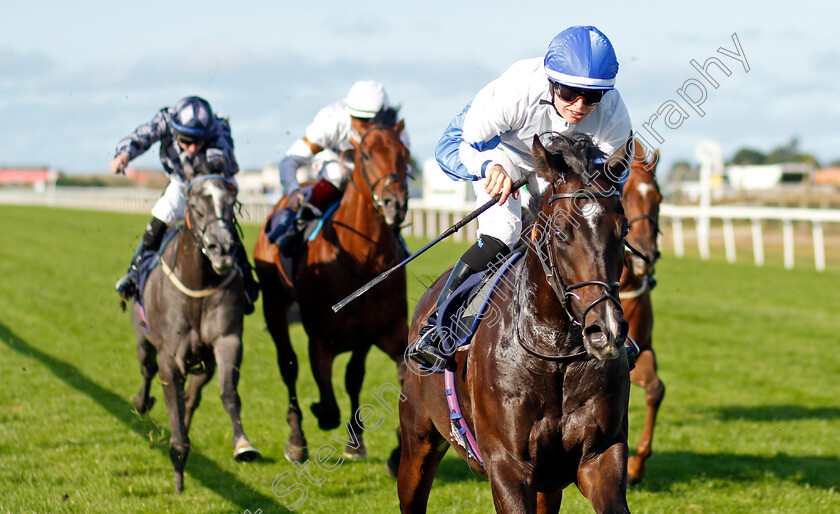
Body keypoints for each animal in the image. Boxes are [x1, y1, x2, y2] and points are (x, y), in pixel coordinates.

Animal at [128, 158, 258, 490]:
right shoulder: (169, 356)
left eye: (231, 203)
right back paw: (142, 403)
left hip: (204, 361)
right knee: (146, 370)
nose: (222, 248)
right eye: (197, 207)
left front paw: (243, 444)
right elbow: (172, 402)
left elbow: (228, 393)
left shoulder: (227, 340)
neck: (198, 283)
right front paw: (177, 462)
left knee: (194, 395)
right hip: (143, 340)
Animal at [254, 115, 412, 460]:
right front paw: (316, 415)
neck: (363, 261)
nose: (395, 204)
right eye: (365, 155)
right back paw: (296, 439)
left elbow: (378, 377)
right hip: (274, 304)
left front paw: (391, 447)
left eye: (405, 153)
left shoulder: (387, 331)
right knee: (288, 365)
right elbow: (327, 408)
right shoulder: (320, 339)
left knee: (352, 376)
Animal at [398, 133, 632, 512]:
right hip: (417, 441)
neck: (556, 355)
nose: (606, 331)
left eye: (623, 229)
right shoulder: (507, 466)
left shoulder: (600, 456)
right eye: (561, 232)